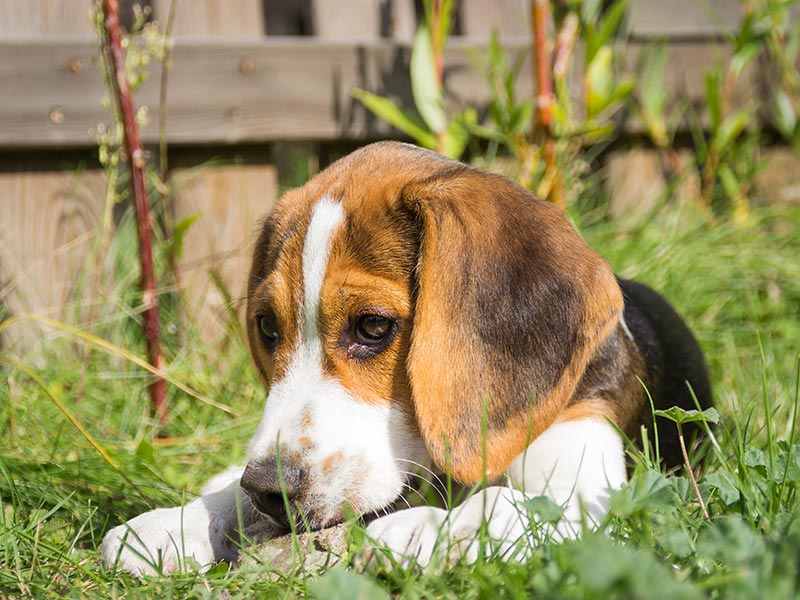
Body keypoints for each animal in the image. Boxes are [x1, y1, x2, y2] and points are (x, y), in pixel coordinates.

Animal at [101, 143, 712, 576]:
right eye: (269, 328)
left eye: (373, 326)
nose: (270, 488)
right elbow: (235, 501)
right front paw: (181, 522)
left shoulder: (589, 477)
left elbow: (516, 502)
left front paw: (433, 529)